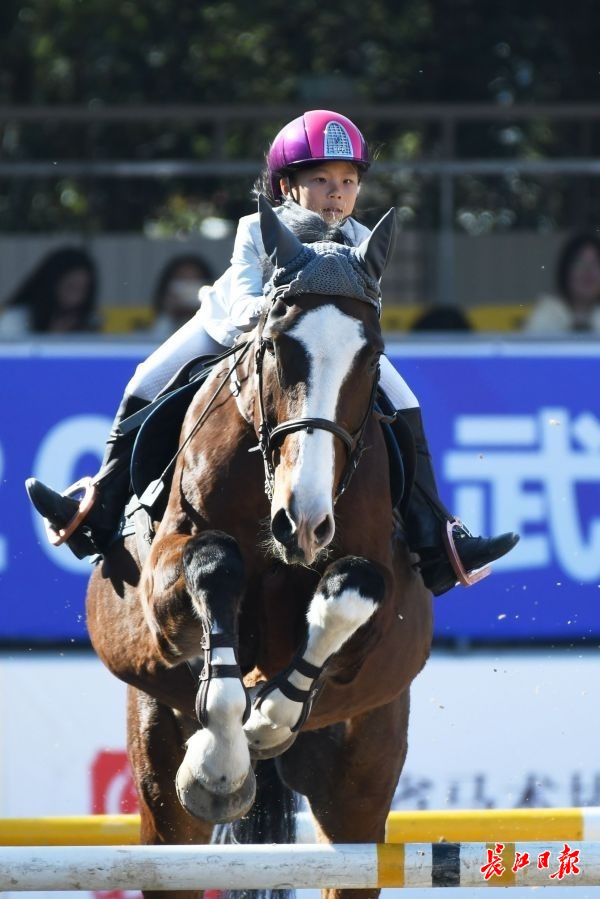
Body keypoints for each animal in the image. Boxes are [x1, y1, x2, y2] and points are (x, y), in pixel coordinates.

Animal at [86, 197, 433, 899]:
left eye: (373, 355)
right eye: (277, 345)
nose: (303, 522)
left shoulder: (378, 603)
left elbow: (355, 587)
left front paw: (272, 715)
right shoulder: (165, 580)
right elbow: (216, 567)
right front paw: (220, 764)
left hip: (361, 787)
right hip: (160, 776)